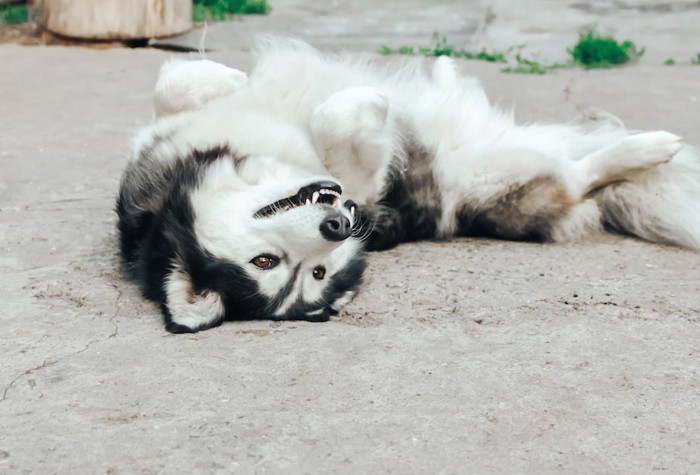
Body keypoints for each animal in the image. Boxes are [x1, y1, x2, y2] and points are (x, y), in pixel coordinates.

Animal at [116, 39, 700, 332]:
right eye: (270, 262)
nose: (340, 223)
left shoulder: (164, 141)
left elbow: (173, 81)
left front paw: (232, 78)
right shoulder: (363, 185)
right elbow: (337, 119)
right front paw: (367, 105)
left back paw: (446, 70)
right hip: (496, 174)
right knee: (583, 174)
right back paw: (648, 149)